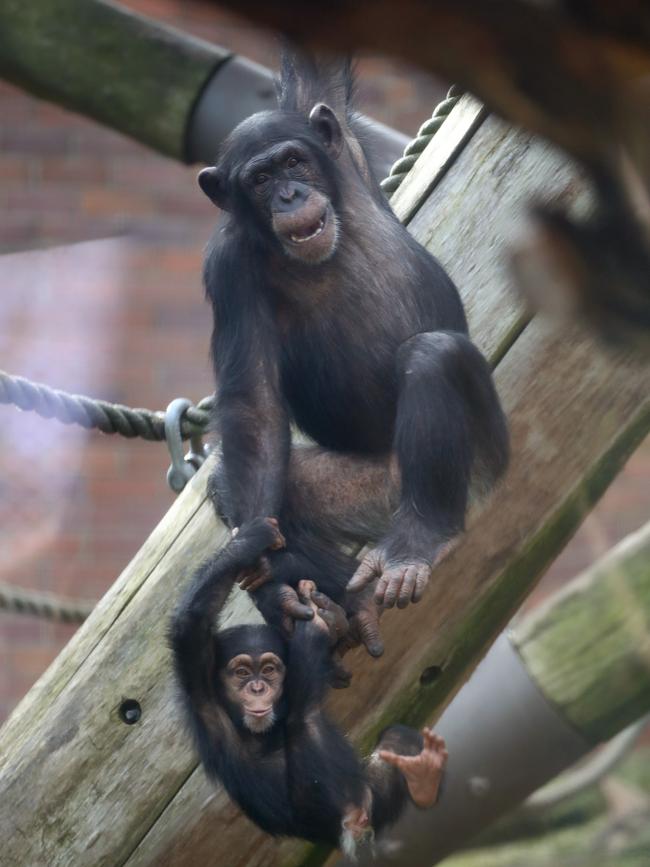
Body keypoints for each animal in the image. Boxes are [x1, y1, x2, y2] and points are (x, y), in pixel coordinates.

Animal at [170, 520, 448, 852]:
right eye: (241, 672)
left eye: (268, 669)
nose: (257, 687)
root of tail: (353, 827)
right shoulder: (199, 681)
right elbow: (192, 623)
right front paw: (251, 539)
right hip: (319, 808)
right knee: (303, 718)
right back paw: (313, 625)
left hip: (372, 797)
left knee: (397, 739)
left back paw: (423, 777)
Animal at [197, 49, 506, 644]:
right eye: (260, 178)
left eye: (294, 162)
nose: (289, 195)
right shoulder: (227, 270)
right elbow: (254, 408)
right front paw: (260, 572)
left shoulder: (338, 141)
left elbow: (318, 77)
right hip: (366, 492)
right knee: (235, 481)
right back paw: (336, 599)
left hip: (487, 462)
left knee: (433, 355)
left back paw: (422, 540)